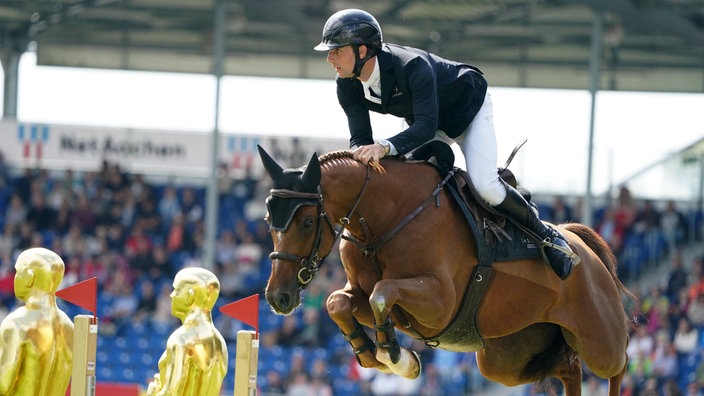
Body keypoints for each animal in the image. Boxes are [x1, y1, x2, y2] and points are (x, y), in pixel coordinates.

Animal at [258, 146, 632, 396]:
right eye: (267, 221)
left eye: (307, 223)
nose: (278, 298)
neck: (387, 218)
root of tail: (582, 244)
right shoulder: (360, 294)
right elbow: (338, 302)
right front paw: (374, 354)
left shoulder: (439, 303)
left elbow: (384, 291)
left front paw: (396, 357)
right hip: (506, 360)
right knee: (568, 367)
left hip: (599, 340)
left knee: (619, 361)